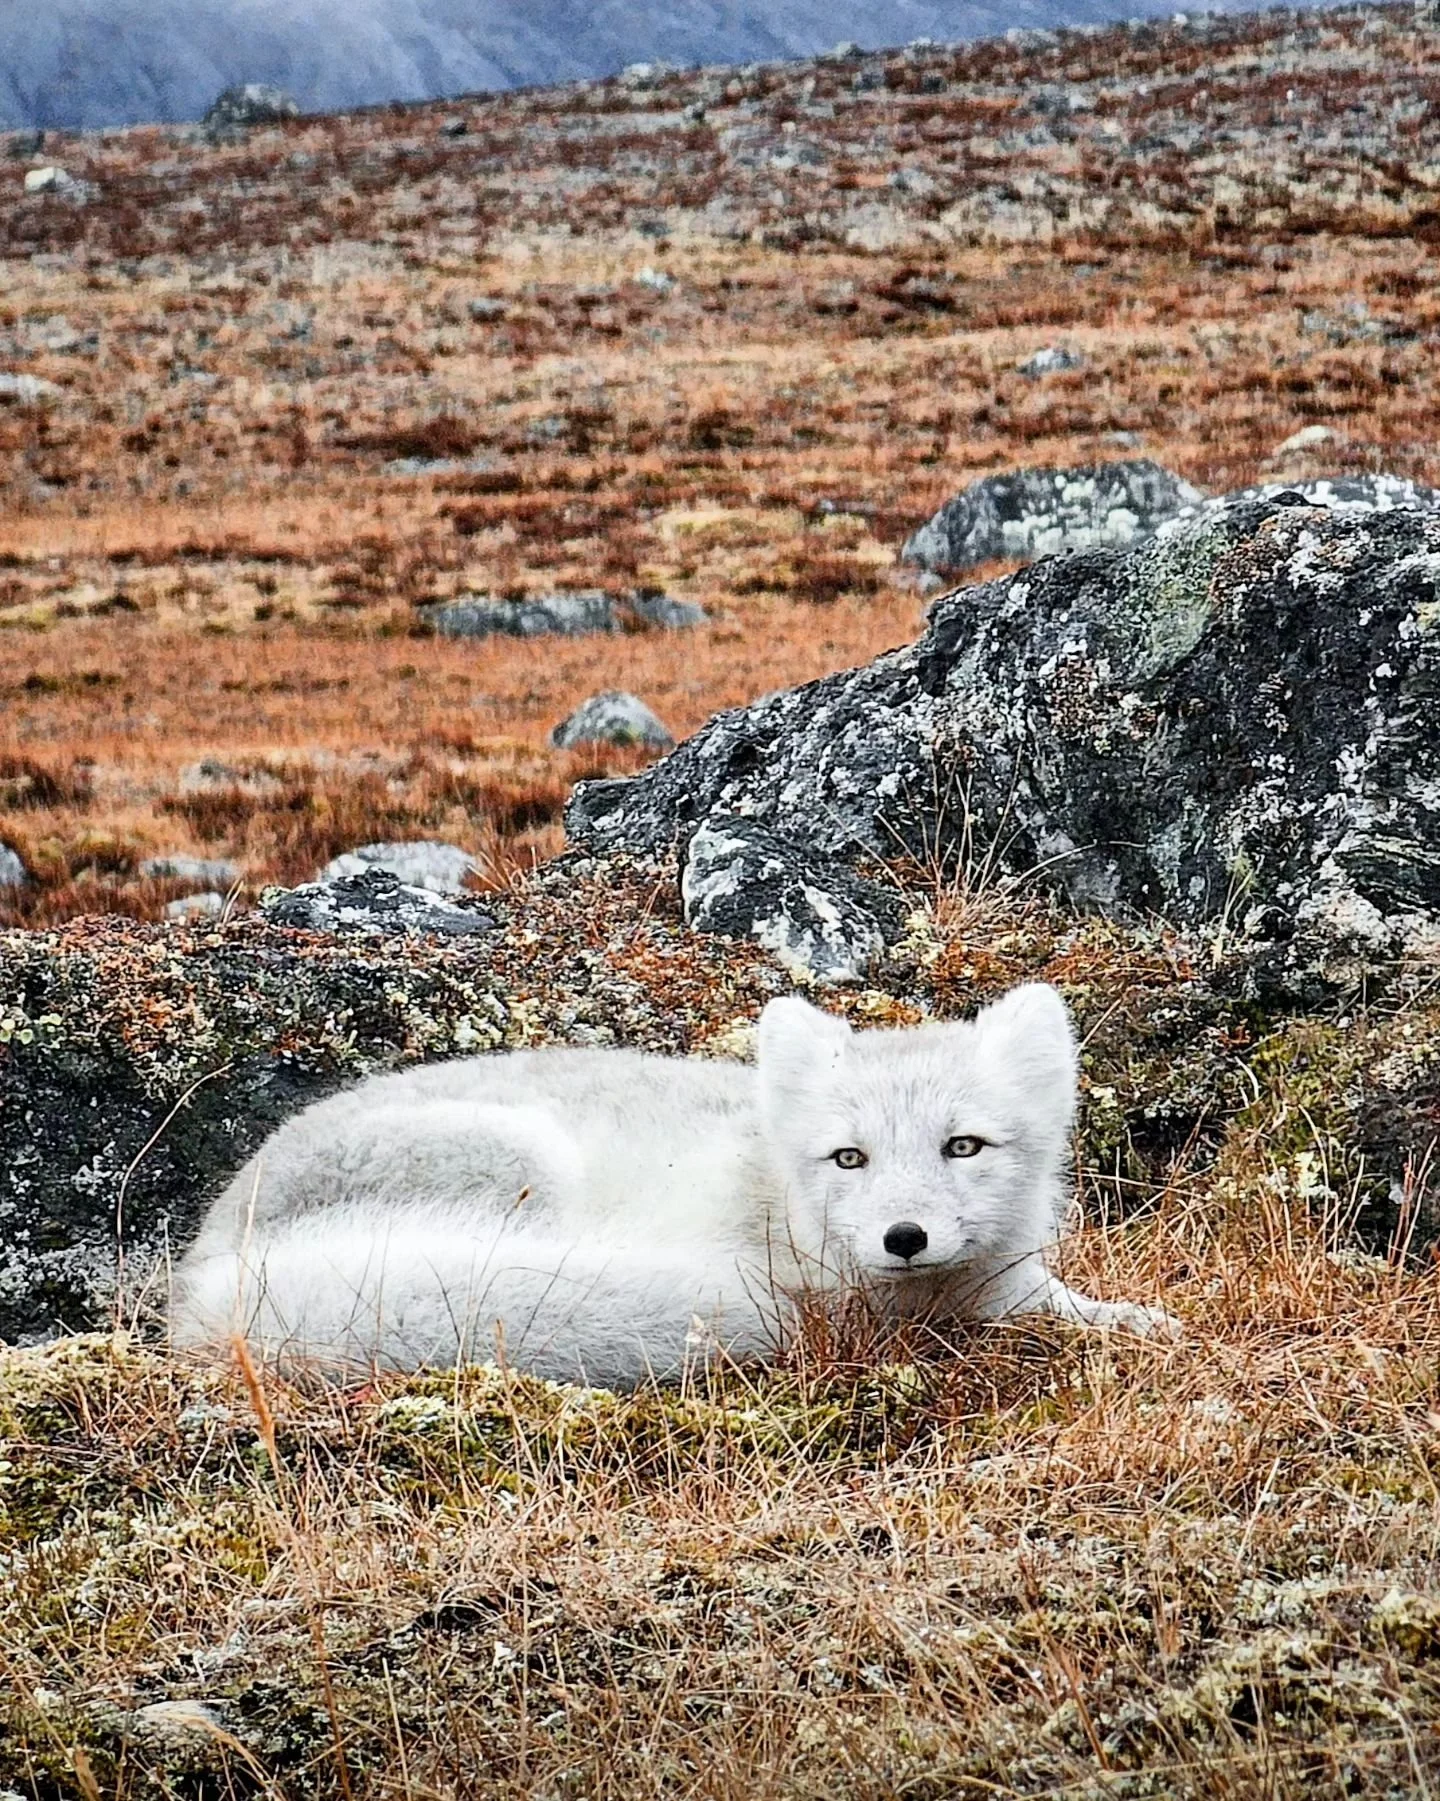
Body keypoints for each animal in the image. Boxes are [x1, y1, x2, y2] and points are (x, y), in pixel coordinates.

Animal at [169, 983, 1176, 1386]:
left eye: (962, 1146)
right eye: (849, 1158)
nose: (903, 1237)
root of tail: (201, 1277)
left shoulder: (1016, 1285)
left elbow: (1082, 1307)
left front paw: (1143, 1323)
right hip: (523, 1160)